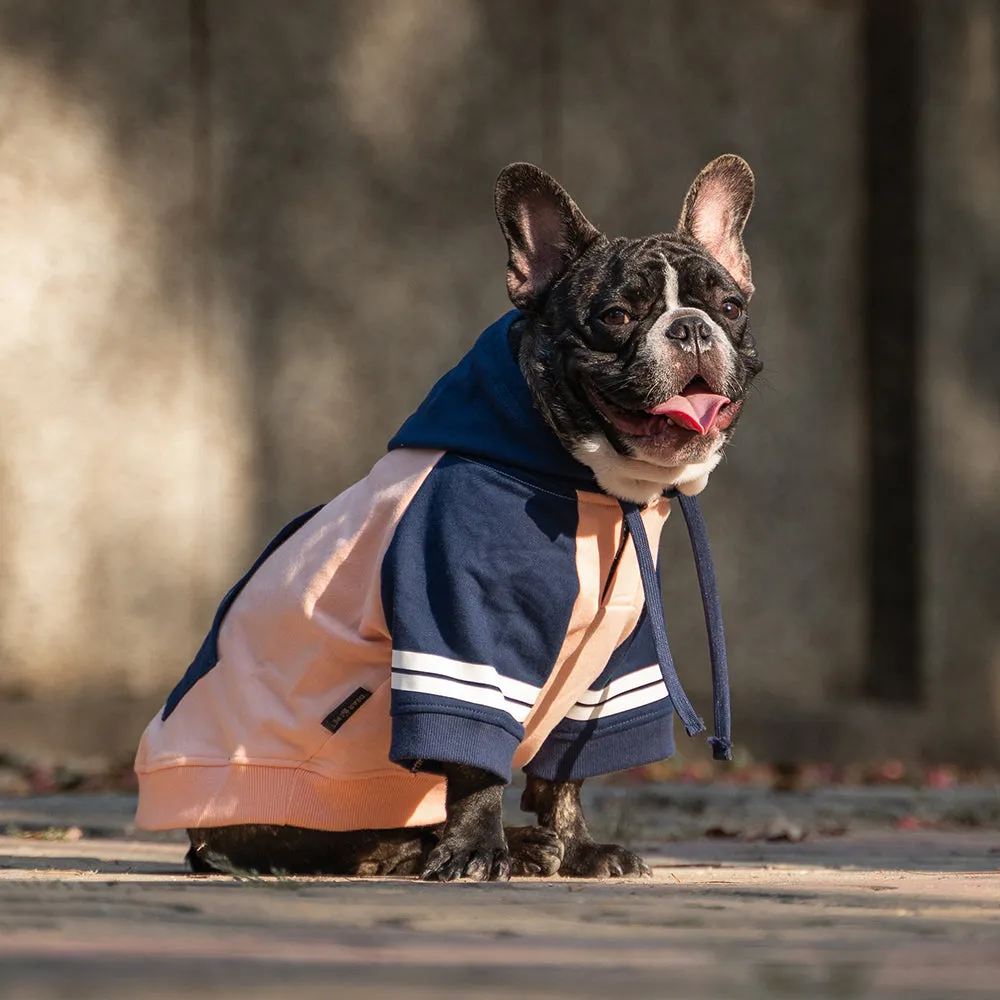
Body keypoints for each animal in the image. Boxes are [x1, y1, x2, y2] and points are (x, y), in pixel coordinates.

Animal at [133, 152, 756, 880]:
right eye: (616, 315)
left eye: (730, 307)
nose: (691, 327)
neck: (597, 487)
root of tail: (196, 838)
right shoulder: (462, 628)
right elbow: (473, 762)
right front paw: (477, 850)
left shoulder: (613, 660)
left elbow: (567, 774)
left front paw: (579, 848)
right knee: (368, 839)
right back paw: (468, 846)